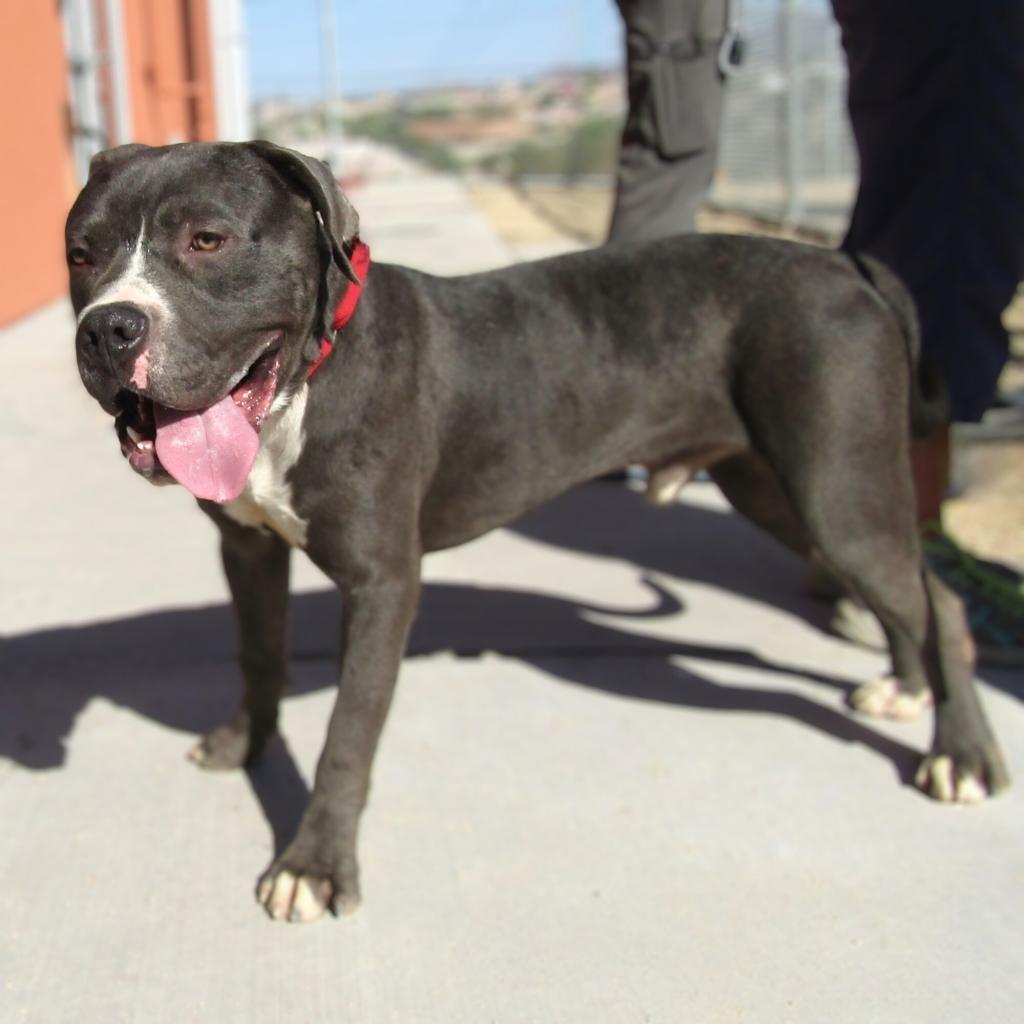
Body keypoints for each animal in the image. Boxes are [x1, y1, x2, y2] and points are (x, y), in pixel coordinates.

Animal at [66, 142, 1007, 921]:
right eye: (81, 253)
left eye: (208, 241)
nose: (107, 327)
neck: (303, 382)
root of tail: (845, 263)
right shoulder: (248, 548)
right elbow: (259, 652)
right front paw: (245, 743)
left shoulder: (382, 586)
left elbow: (346, 736)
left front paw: (315, 866)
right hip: (780, 490)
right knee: (912, 589)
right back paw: (907, 687)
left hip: (835, 489)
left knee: (936, 600)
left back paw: (961, 755)